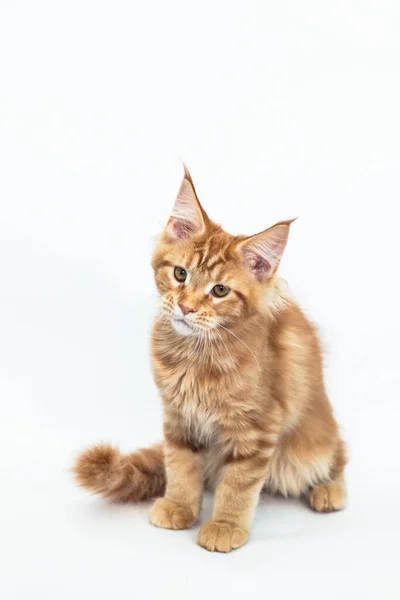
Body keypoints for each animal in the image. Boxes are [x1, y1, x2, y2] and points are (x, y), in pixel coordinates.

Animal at [73, 168, 348, 552]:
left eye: (220, 290)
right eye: (180, 274)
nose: (186, 307)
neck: (196, 355)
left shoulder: (257, 428)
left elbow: (238, 485)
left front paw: (225, 525)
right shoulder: (178, 417)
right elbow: (180, 466)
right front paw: (179, 506)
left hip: (312, 445)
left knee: (338, 455)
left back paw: (329, 489)